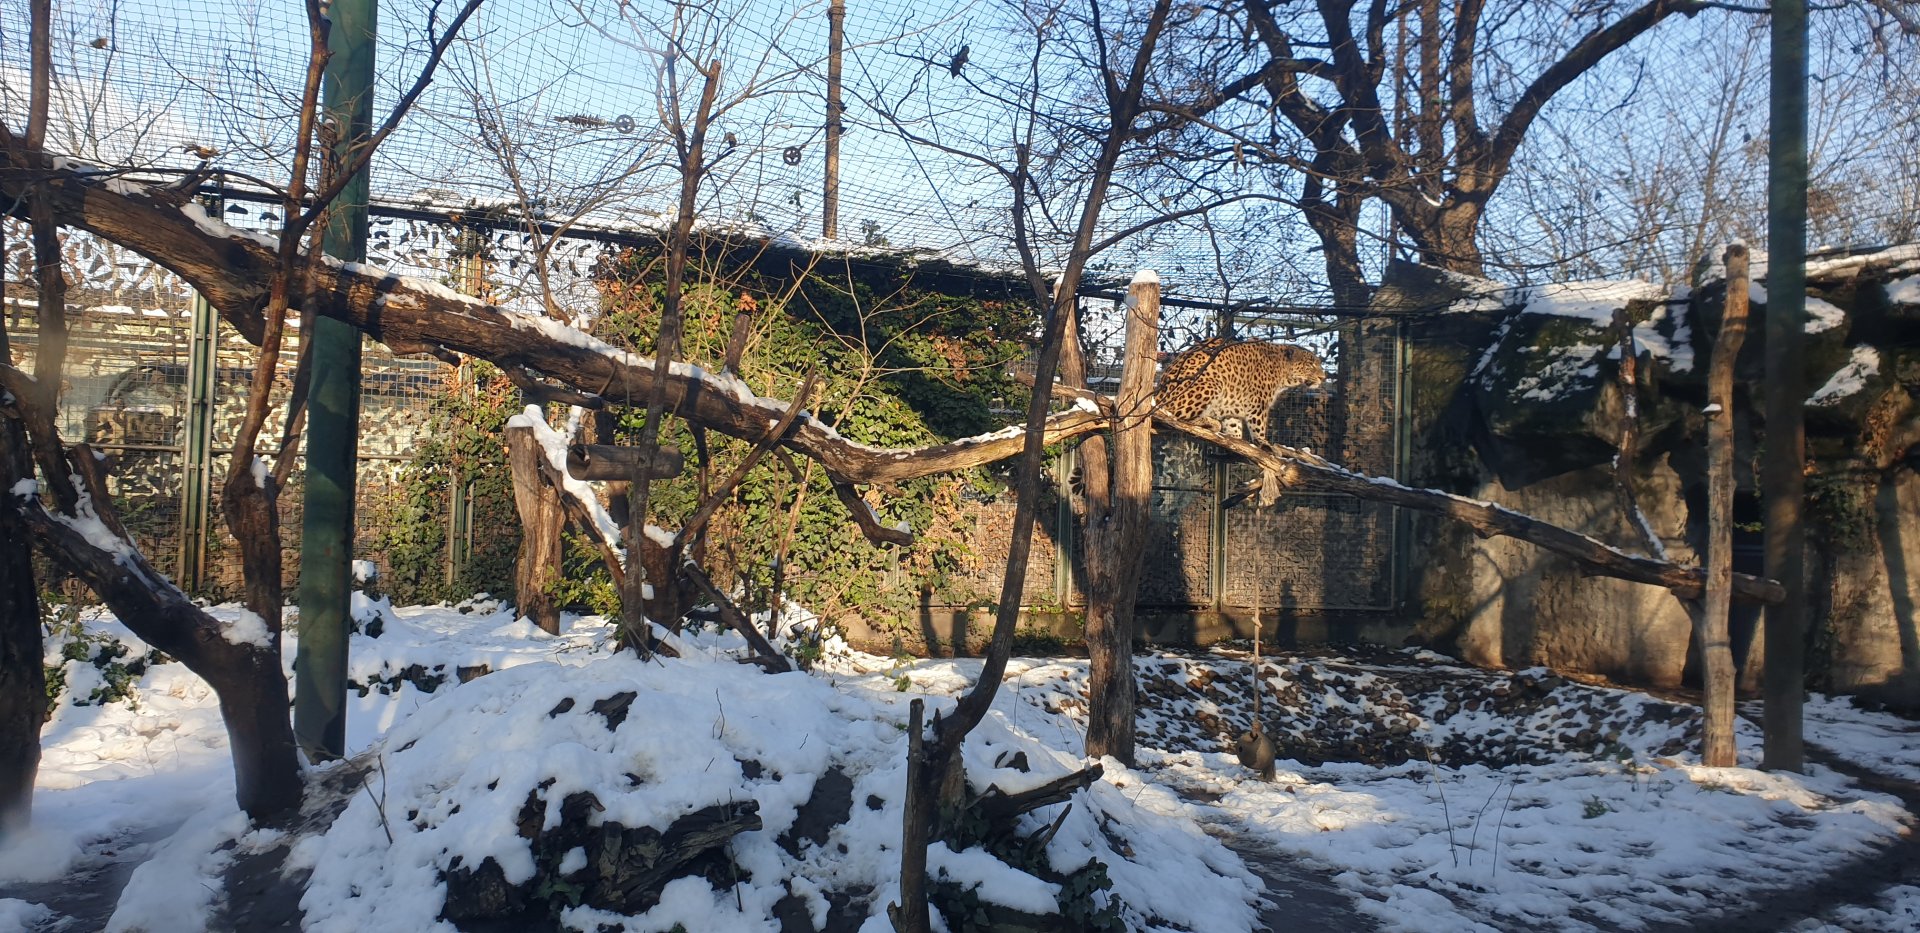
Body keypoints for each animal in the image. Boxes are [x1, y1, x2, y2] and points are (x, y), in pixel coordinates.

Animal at [1155, 337, 1326, 506]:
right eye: (1310, 364)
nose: (1323, 378)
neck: (1283, 372)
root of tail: (1158, 394)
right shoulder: (1258, 403)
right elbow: (1258, 427)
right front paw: (1265, 446)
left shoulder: (1233, 407)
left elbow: (1233, 426)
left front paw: (1236, 443)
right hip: (1211, 384)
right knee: (1176, 415)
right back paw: (1210, 422)